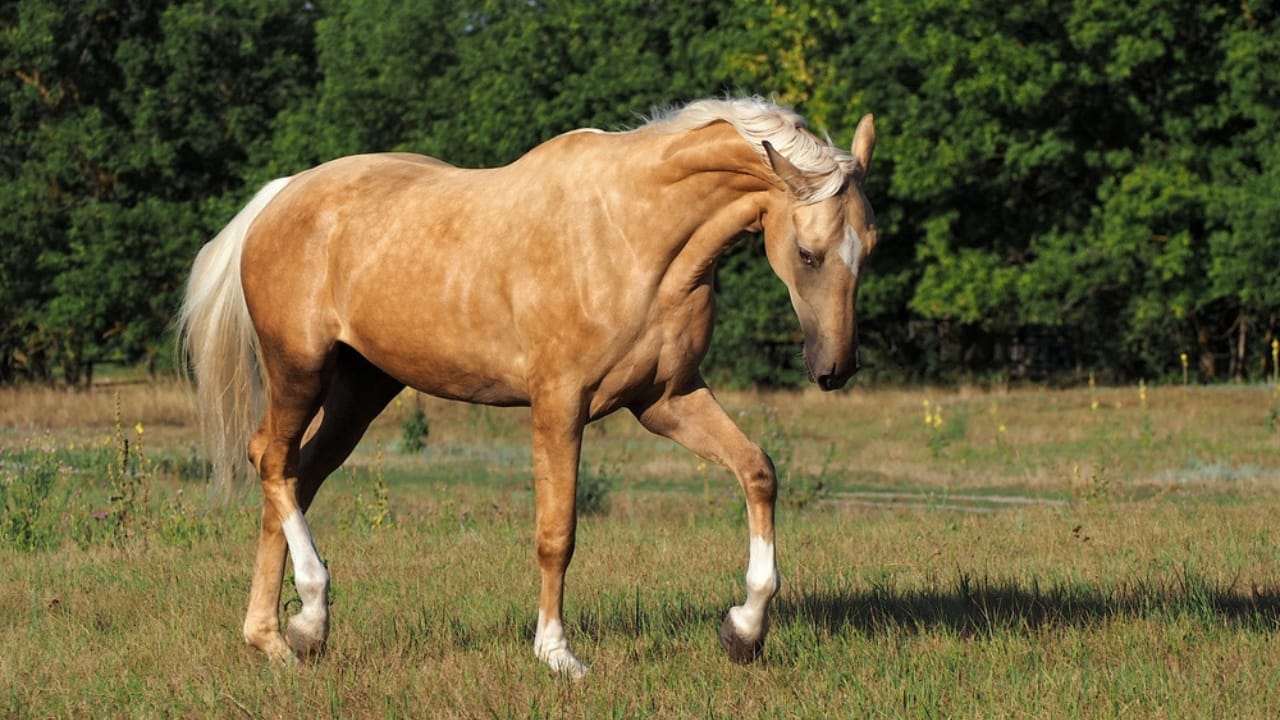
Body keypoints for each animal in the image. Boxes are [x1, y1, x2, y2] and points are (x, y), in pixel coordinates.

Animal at [178, 96, 877, 678]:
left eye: (868, 247)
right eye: (808, 253)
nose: (834, 370)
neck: (633, 236)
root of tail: (279, 197)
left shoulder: (667, 401)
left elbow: (758, 472)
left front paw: (744, 630)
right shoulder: (559, 406)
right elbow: (556, 533)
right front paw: (556, 654)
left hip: (361, 390)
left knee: (297, 475)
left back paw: (282, 635)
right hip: (300, 370)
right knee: (273, 461)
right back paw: (309, 609)